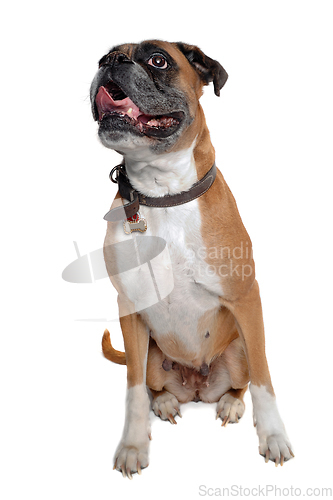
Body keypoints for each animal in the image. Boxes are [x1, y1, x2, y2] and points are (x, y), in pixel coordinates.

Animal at [89, 39, 292, 476]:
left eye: (158, 60)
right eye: (103, 57)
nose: (111, 62)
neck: (162, 193)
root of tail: (196, 387)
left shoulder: (247, 300)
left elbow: (264, 379)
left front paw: (273, 436)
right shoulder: (129, 308)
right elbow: (133, 389)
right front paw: (133, 444)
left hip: (237, 349)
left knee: (243, 381)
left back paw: (230, 403)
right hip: (151, 353)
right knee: (150, 384)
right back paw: (165, 402)